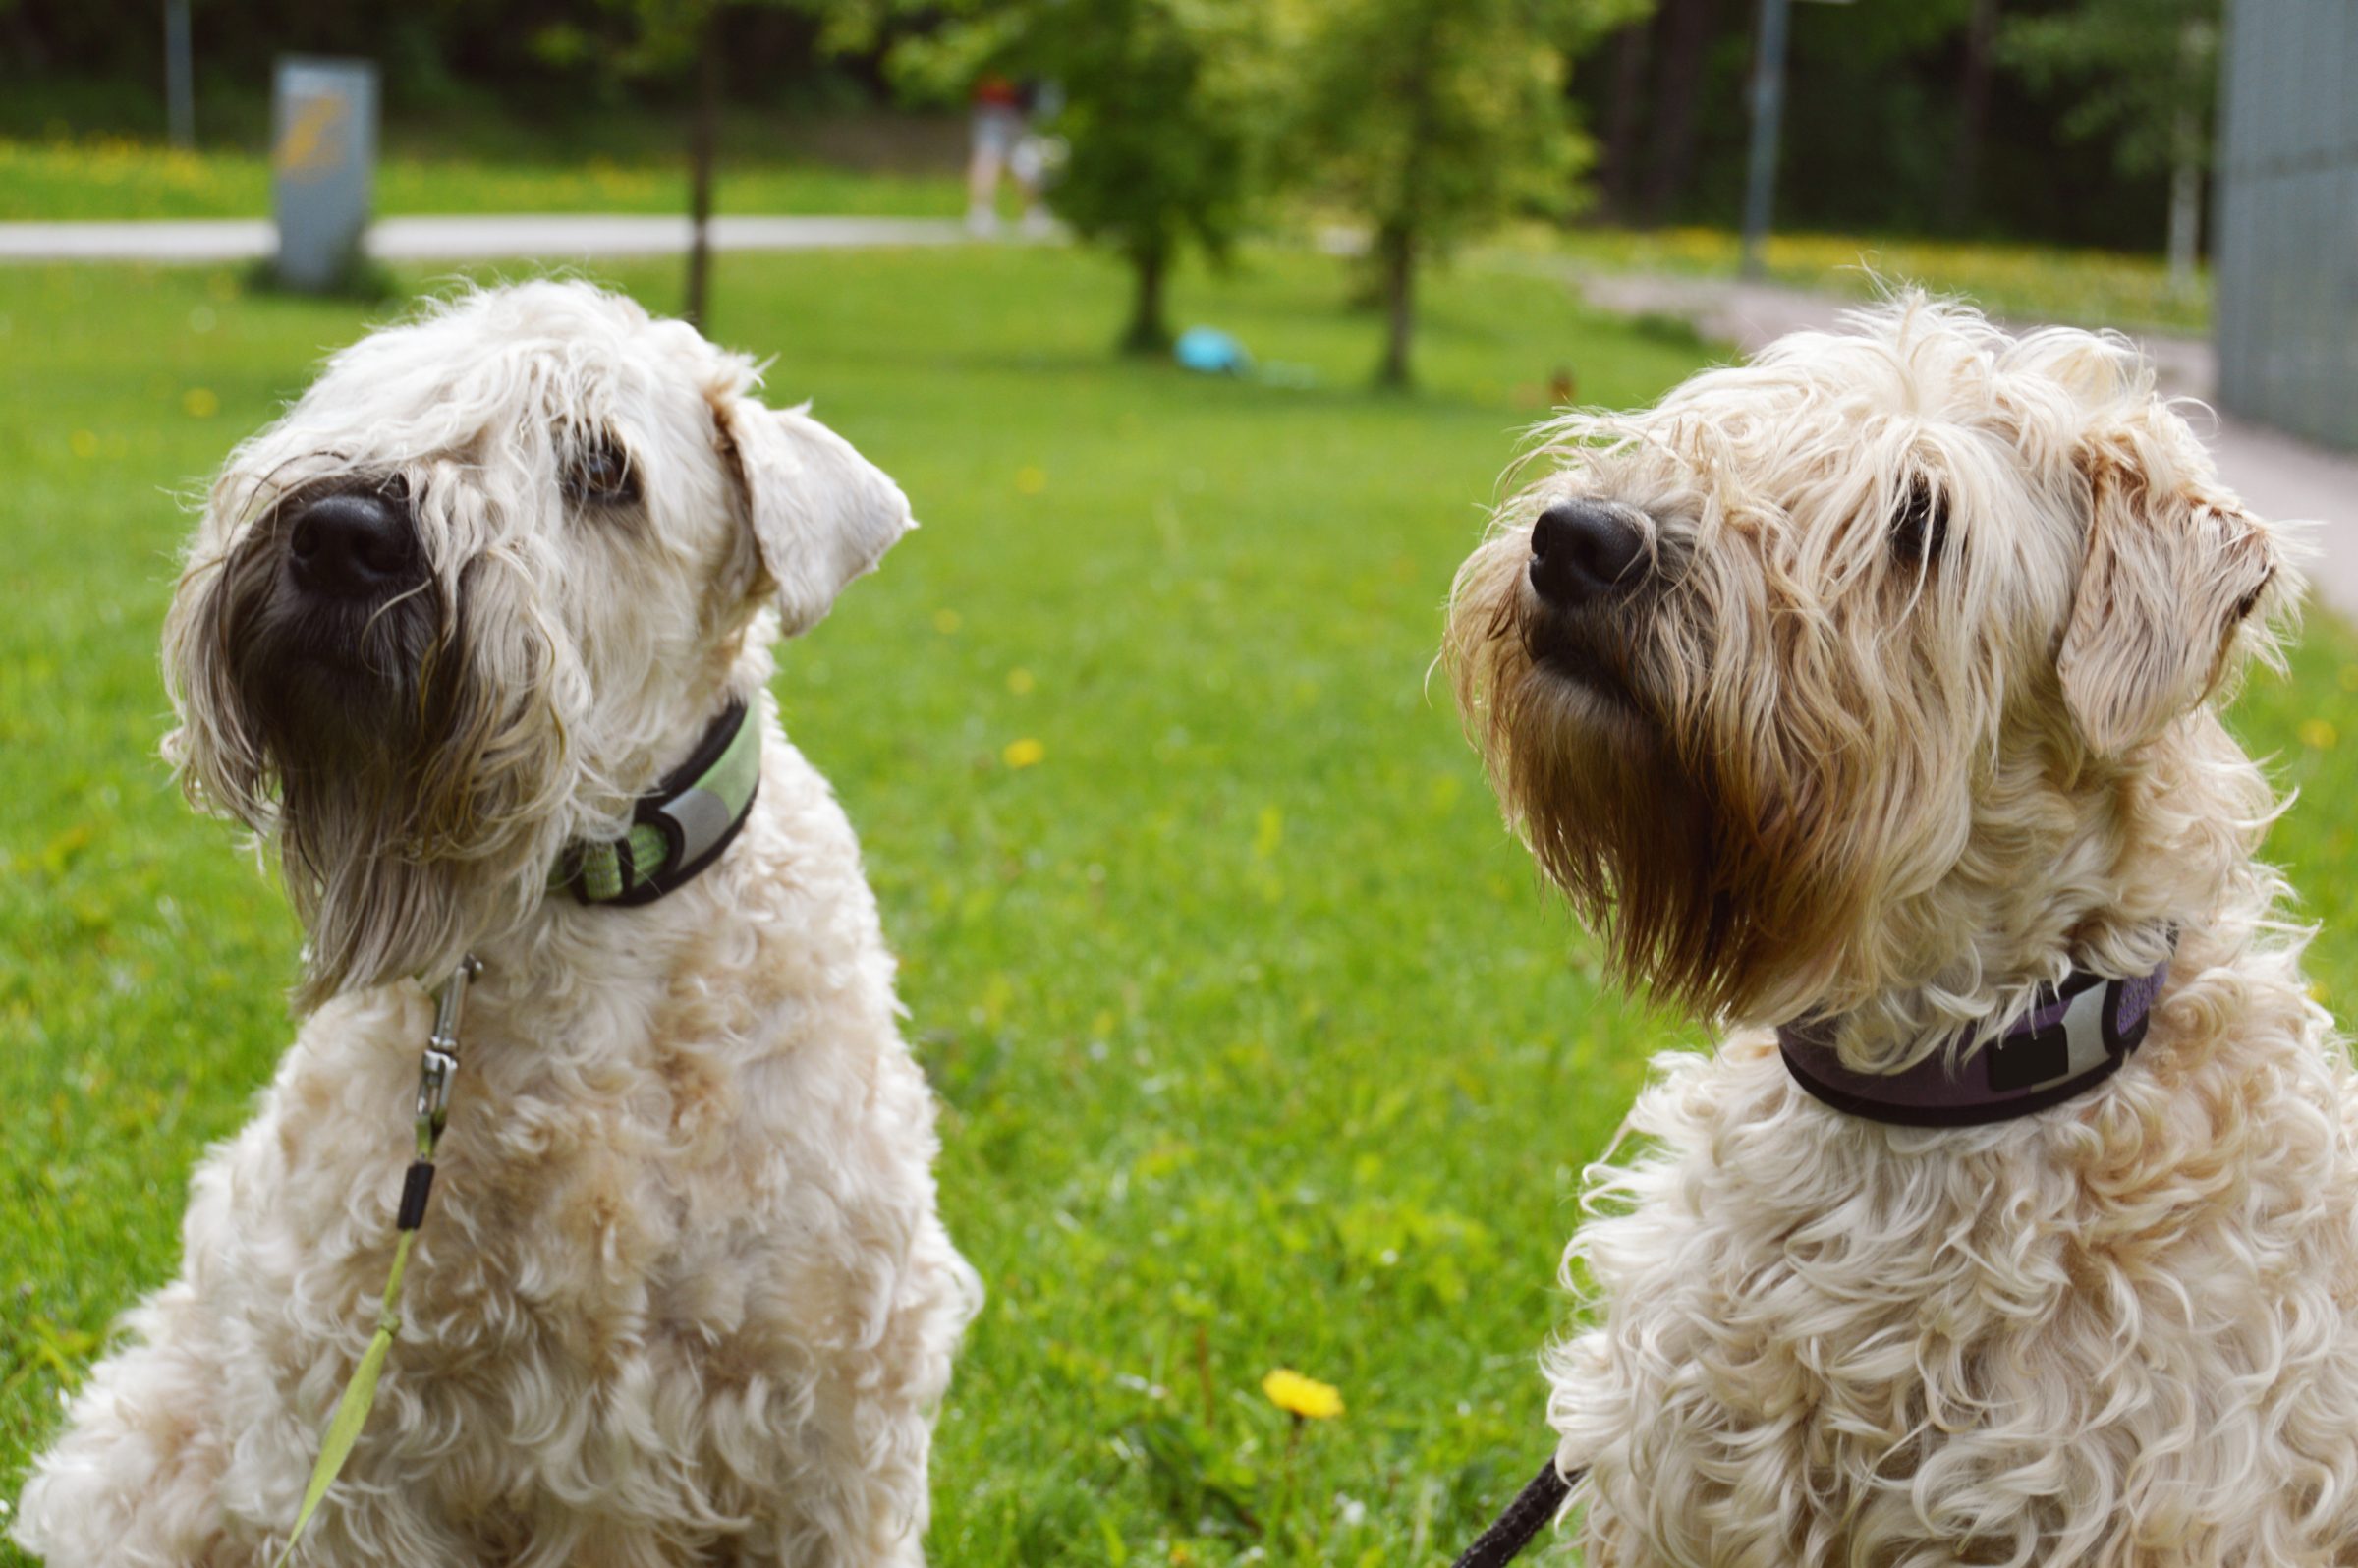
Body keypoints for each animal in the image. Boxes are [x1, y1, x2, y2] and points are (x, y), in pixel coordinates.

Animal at [14, 281, 981, 1565]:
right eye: (375, 393)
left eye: (602, 466)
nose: (342, 535)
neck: (592, 919)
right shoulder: (361, 1435)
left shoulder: (828, 1433)